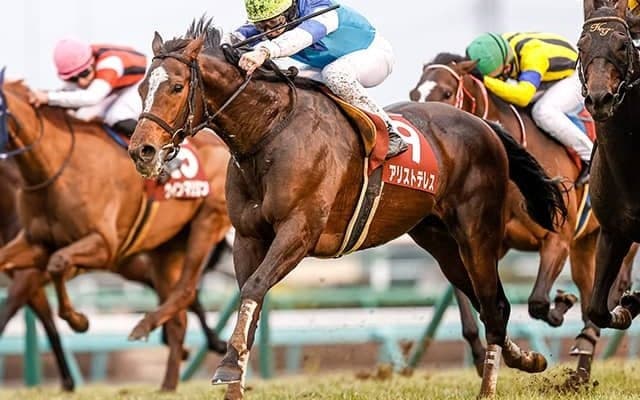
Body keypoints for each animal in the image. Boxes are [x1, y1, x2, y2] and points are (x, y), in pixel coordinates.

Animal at [0, 77, 231, 390]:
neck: (53, 169)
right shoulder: (35, 244)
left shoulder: (103, 246)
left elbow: (57, 264)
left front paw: (78, 321)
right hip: (164, 249)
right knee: (178, 315)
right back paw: (167, 385)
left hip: (206, 223)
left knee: (185, 293)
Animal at [127, 19, 567, 399]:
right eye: (142, 87)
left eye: (177, 86)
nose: (141, 151)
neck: (268, 133)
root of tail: (484, 124)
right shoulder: (248, 237)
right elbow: (251, 301)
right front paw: (234, 378)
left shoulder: (299, 232)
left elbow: (253, 289)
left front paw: (227, 367)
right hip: (439, 241)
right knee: (485, 302)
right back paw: (527, 358)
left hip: (477, 232)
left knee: (494, 303)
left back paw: (490, 386)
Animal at [410, 53, 639, 378]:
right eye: (414, 94)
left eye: (445, 92)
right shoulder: (485, 244)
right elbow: (470, 305)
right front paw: (480, 356)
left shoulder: (557, 239)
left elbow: (538, 302)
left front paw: (560, 306)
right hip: (585, 245)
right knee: (589, 295)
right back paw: (580, 373)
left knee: (610, 290)